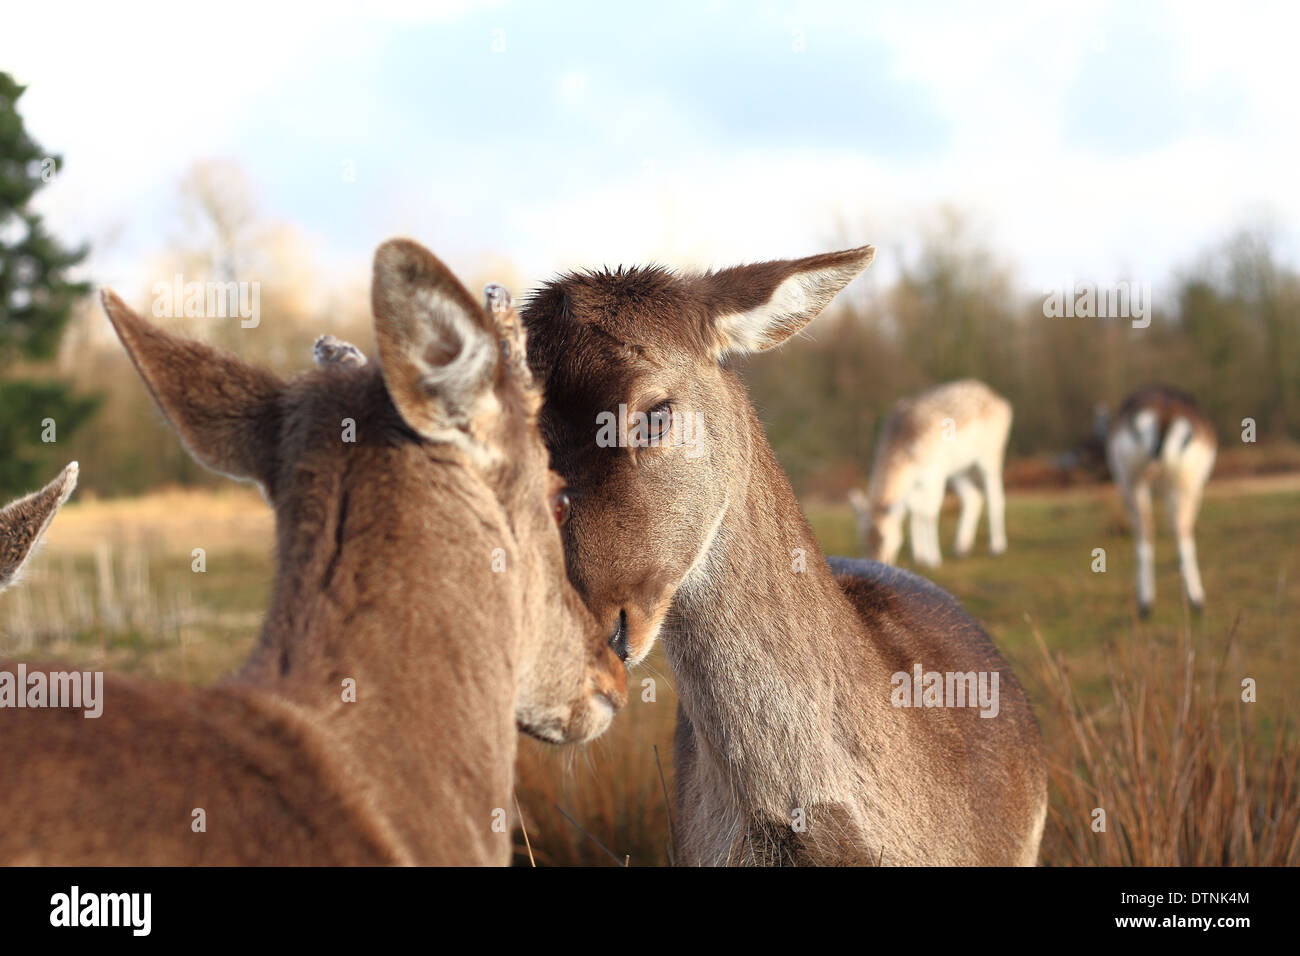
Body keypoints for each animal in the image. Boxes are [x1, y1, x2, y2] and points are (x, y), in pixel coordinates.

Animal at [847, 377, 1019, 564]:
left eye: (884, 538)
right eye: (862, 542)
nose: (878, 562)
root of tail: (999, 398)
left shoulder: (933, 473)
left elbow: (929, 513)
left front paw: (933, 559)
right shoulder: (916, 481)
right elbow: (915, 510)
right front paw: (919, 556)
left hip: (990, 453)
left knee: (995, 494)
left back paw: (996, 547)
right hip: (959, 469)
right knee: (973, 497)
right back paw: (961, 548)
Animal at [1107, 385, 1216, 616]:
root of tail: (1164, 414)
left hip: (1134, 481)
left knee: (1149, 528)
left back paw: (1148, 602)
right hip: (1181, 483)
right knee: (1177, 530)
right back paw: (1194, 600)